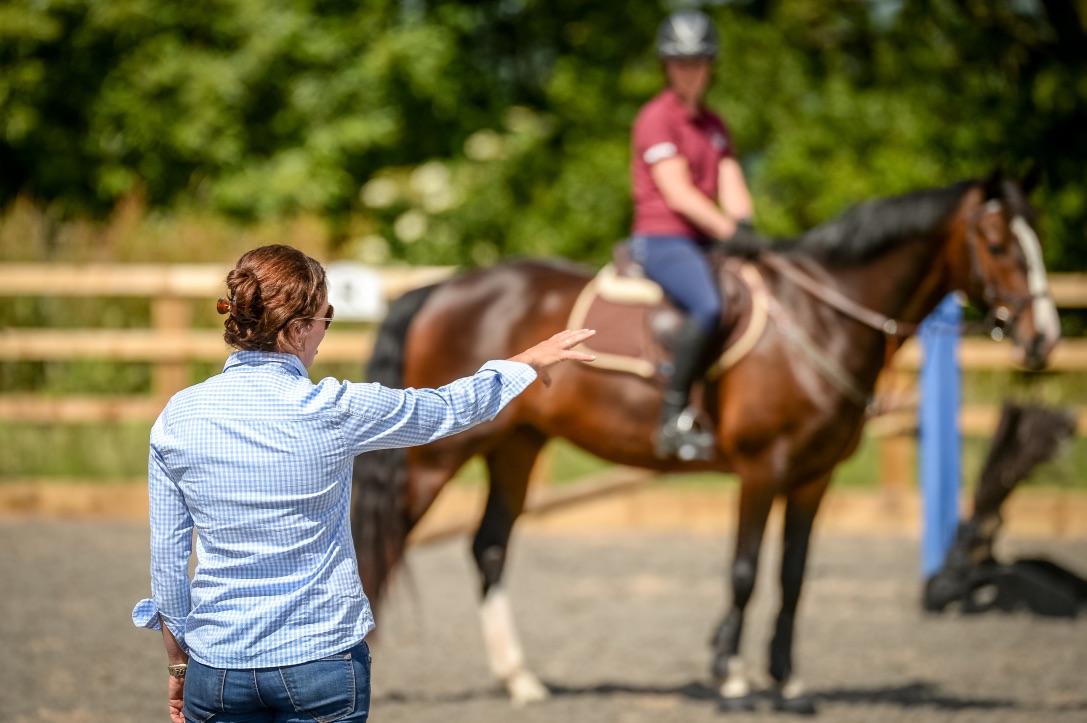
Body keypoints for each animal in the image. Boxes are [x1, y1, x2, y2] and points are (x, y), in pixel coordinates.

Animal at [350, 171, 1060, 713]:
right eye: (998, 242)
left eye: (1036, 237)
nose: (1044, 338)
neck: (822, 318)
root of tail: (442, 288)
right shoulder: (764, 469)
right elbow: (745, 571)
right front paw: (734, 678)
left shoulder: (814, 477)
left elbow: (794, 577)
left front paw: (788, 682)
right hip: (434, 457)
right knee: (381, 539)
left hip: (515, 446)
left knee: (489, 547)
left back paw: (521, 679)